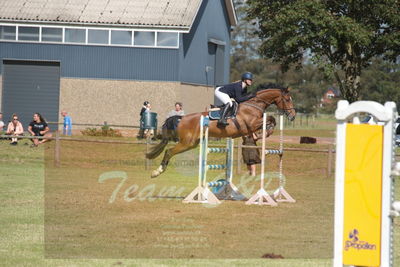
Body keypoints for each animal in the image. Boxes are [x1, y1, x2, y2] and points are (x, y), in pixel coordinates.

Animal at [148, 85, 296, 179]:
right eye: (287, 99)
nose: (293, 116)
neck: (254, 104)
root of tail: (181, 118)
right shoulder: (251, 125)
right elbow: (270, 118)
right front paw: (266, 132)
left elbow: (272, 120)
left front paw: (266, 132)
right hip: (186, 143)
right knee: (169, 151)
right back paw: (156, 172)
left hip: (192, 143)